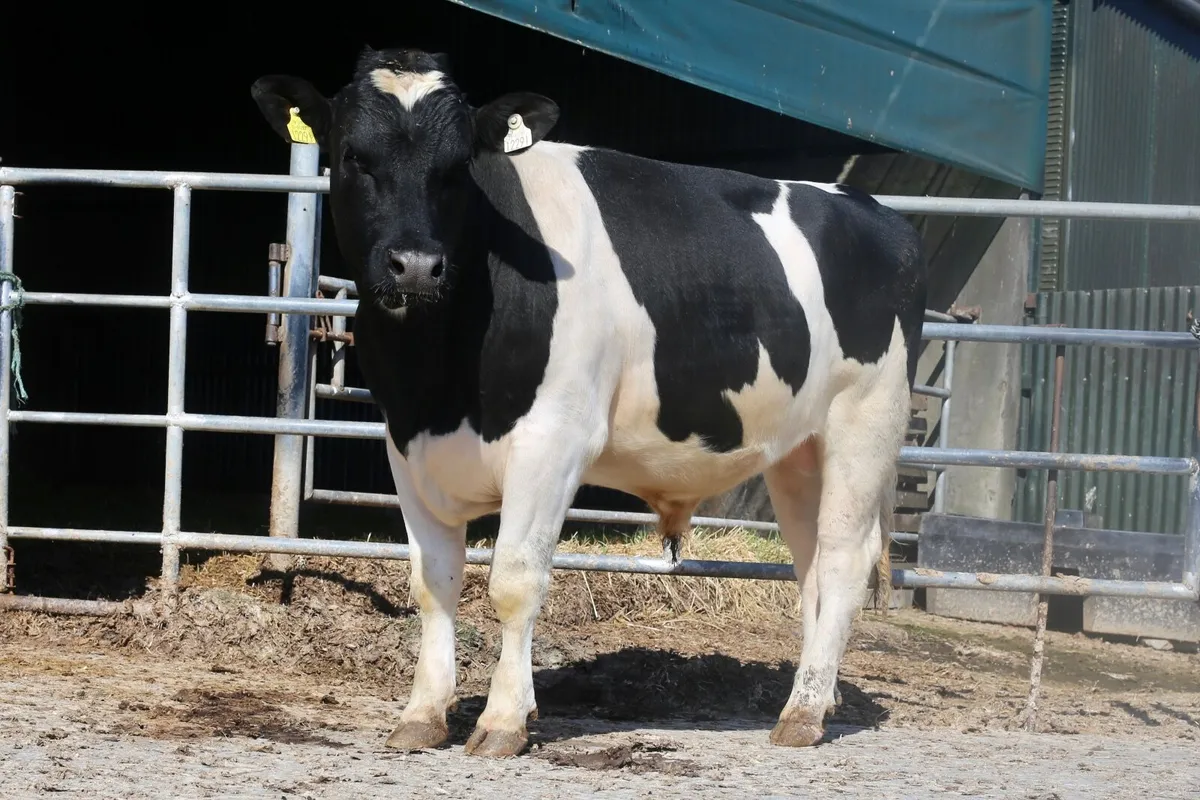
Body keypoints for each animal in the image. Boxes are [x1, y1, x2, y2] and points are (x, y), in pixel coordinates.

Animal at [250, 46, 927, 758]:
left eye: (459, 164)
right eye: (353, 154)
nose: (415, 265)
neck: (440, 383)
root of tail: (880, 214)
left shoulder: (554, 439)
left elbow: (514, 579)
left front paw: (503, 720)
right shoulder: (407, 445)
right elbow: (432, 583)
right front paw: (422, 714)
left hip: (866, 420)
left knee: (846, 558)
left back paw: (802, 713)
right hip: (799, 450)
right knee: (812, 563)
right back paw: (816, 697)